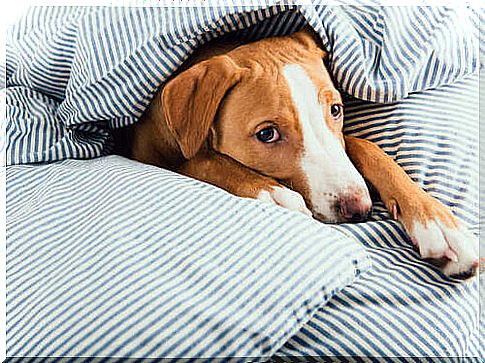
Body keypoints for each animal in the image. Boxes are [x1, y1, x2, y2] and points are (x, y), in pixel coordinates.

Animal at [115, 27, 482, 278]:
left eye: (336, 109)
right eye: (267, 134)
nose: (359, 208)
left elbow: (363, 146)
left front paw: (436, 219)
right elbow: (199, 160)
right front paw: (273, 193)